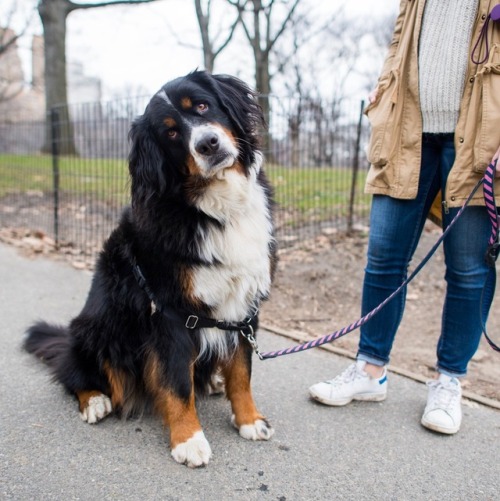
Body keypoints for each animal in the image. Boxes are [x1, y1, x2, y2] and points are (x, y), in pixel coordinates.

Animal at [23, 71, 278, 468]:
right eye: (171, 133)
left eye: (202, 105)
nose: (207, 143)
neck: (217, 210)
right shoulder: (171, 313)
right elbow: (176, 382)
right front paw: (188, 439)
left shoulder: (244, 305)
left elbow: (241, 372)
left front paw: (249, 419)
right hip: (100, 332)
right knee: (75, 372)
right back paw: (94, 400)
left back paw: (211, 381)